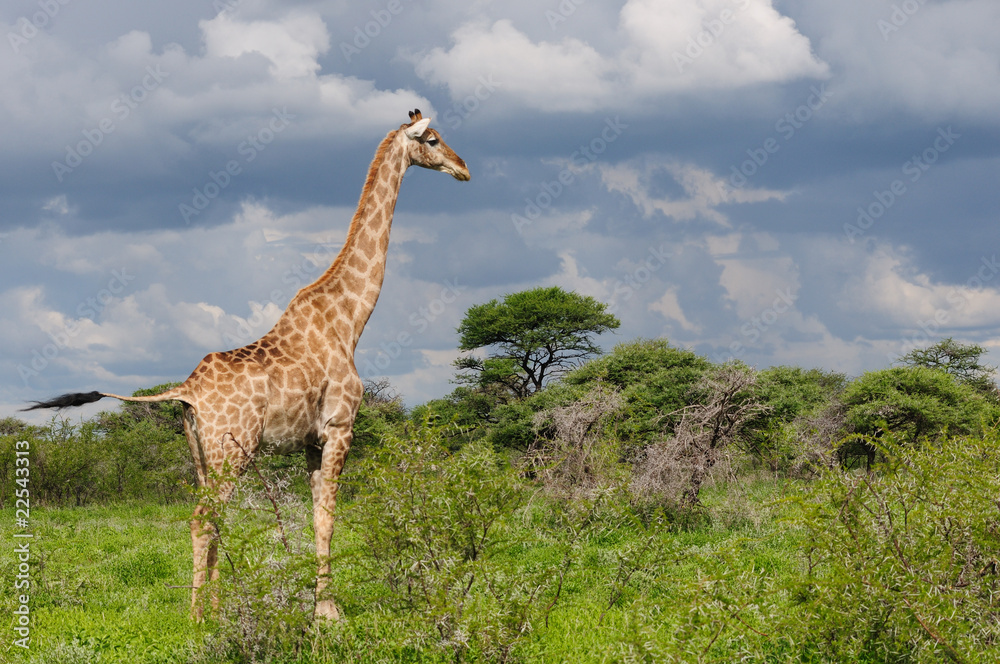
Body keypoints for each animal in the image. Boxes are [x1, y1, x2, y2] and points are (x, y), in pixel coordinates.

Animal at [25, 109, 470, 620]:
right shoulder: (340, 427)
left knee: (214, 515)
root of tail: (186, 390)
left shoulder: (311, 441)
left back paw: (217, 610)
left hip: (203, 452)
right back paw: (197, 618)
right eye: (432, 140)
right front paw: (328, 613)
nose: (463, 169)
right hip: (230, 450)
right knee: (202, 518)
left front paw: (316, 604)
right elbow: (328, 517)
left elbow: (315, 515)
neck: (350, 319)